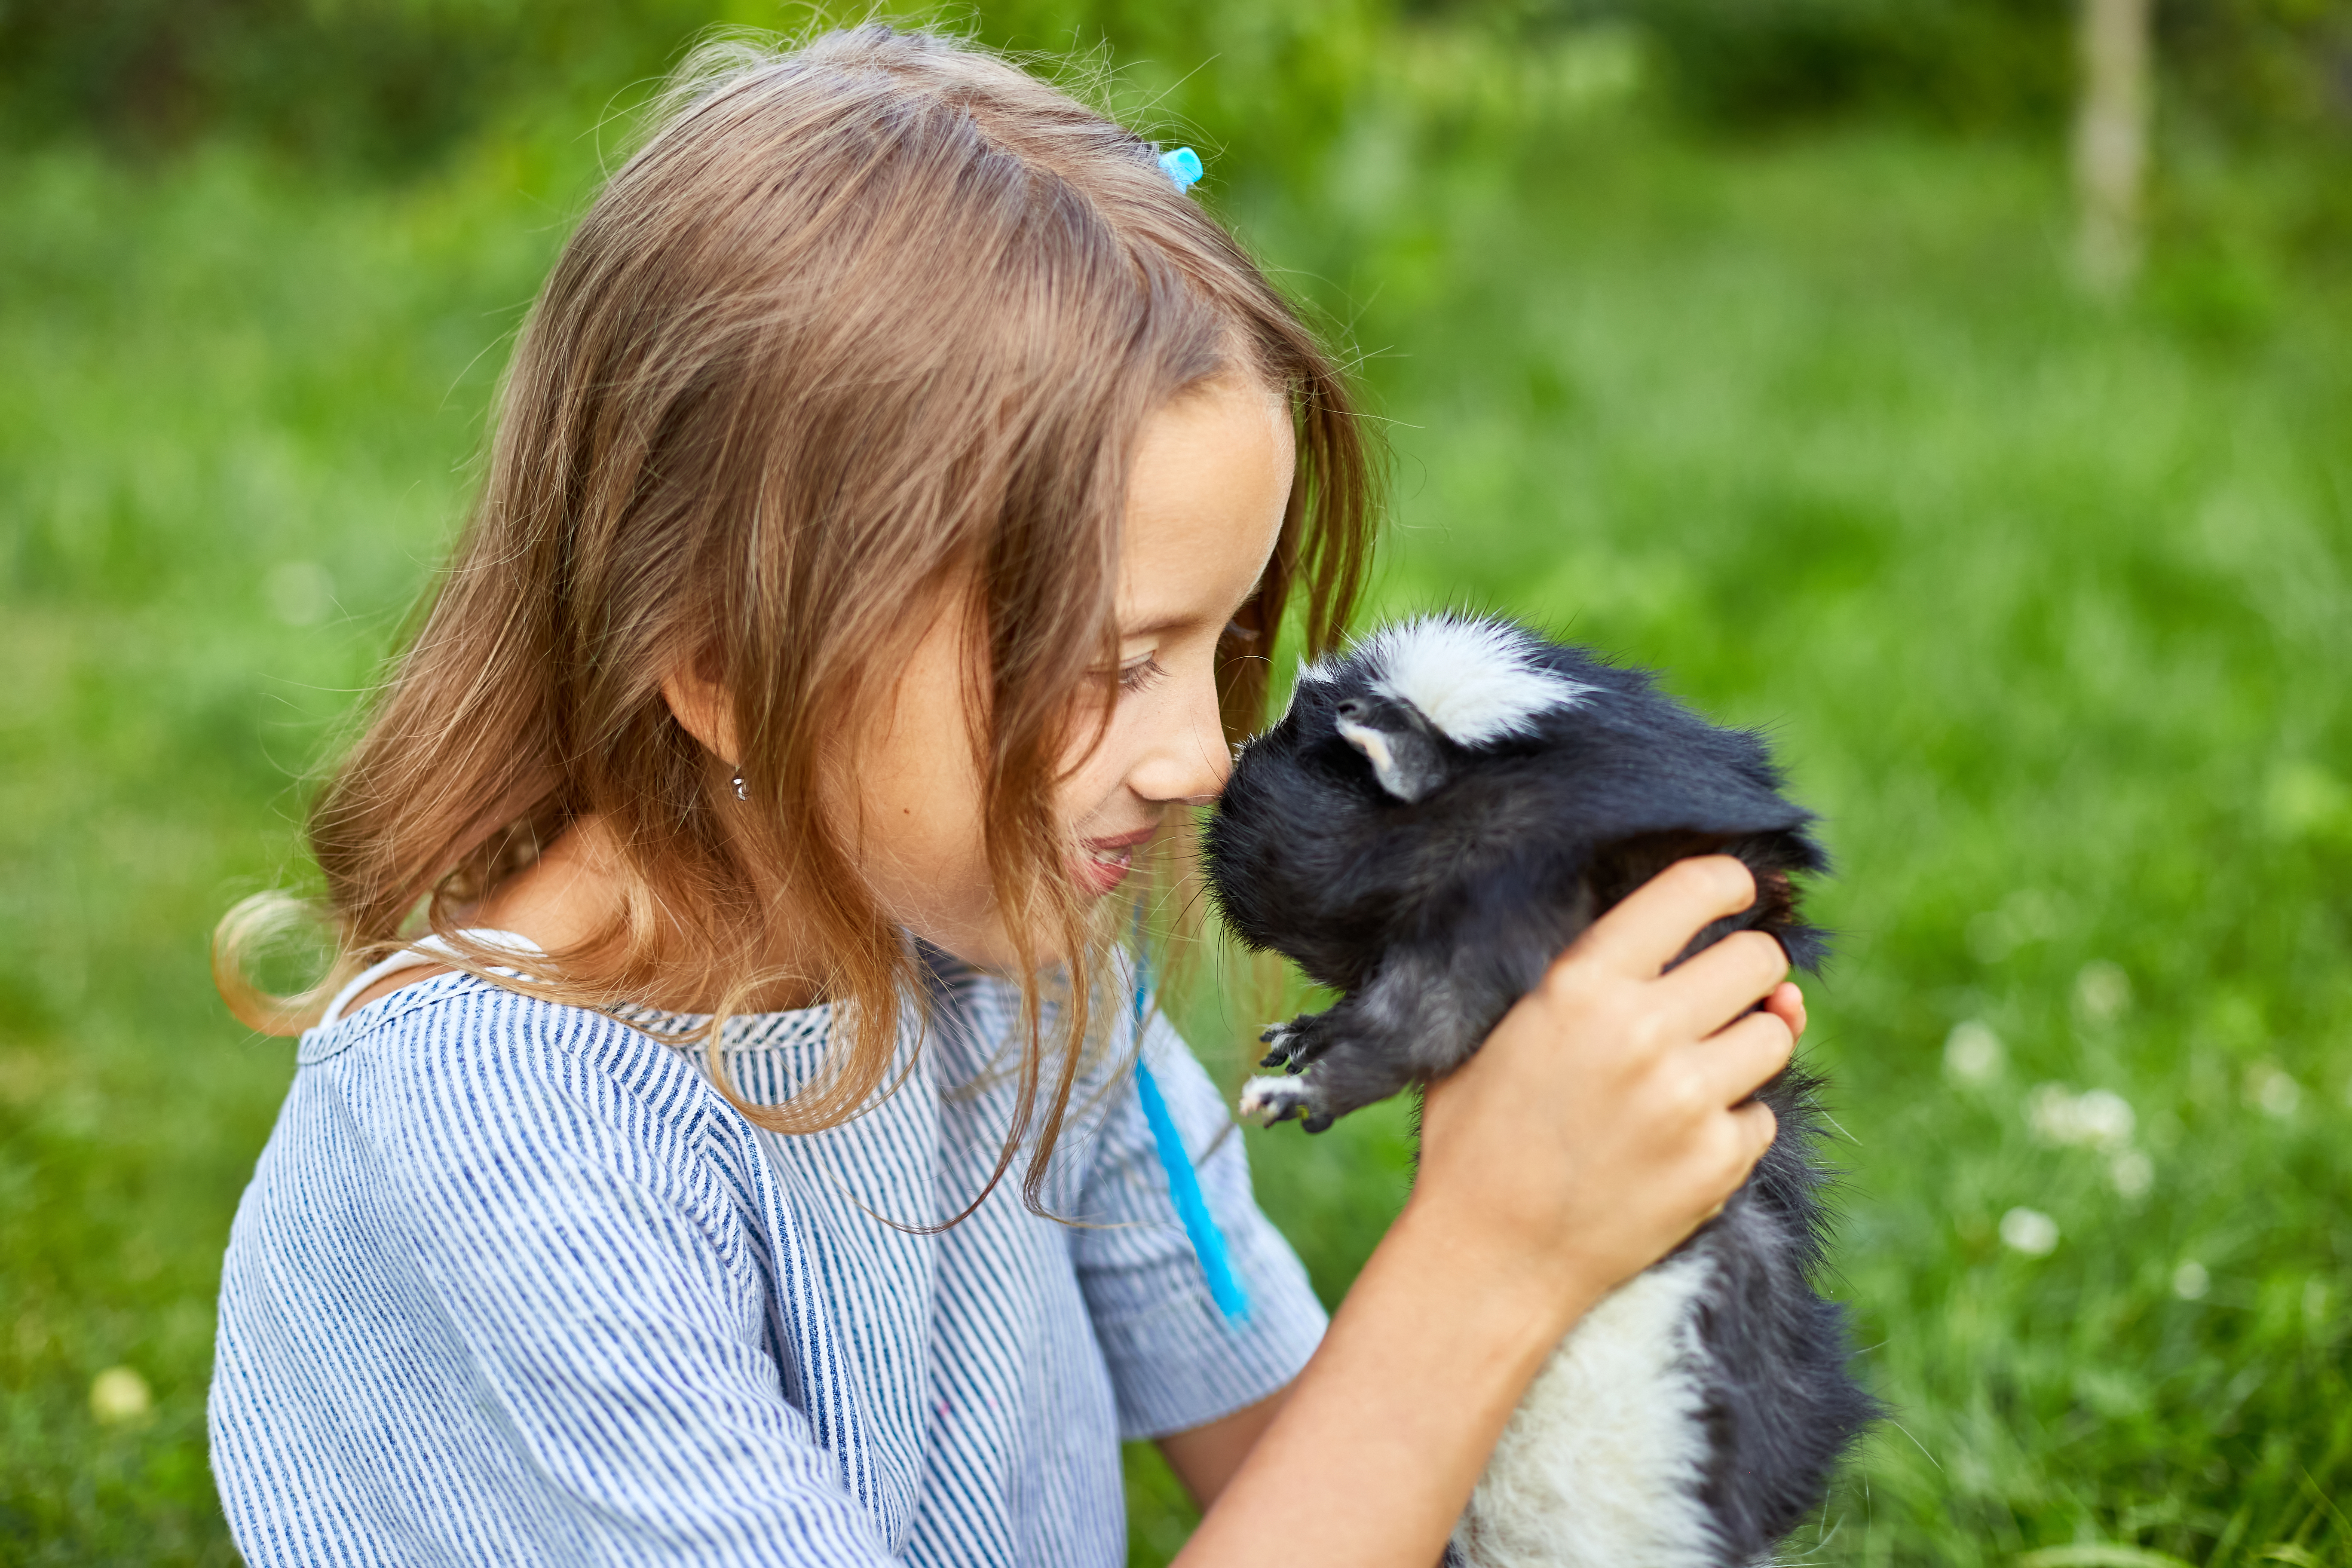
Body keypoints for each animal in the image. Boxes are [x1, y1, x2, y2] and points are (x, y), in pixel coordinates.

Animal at [1213, 616, 1872, 1568]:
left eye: (1308, 749)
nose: (1225, 775)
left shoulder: (1474, 952)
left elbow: (1398, 1033)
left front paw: (1277, 1096)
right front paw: (1286, 1045)